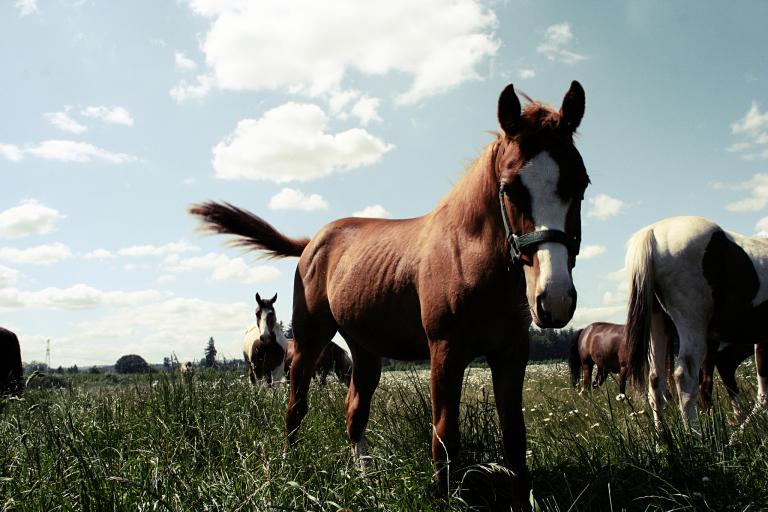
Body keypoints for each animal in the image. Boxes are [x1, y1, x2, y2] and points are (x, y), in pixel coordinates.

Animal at [628, 214, 768, 434]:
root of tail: (653, 233)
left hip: (658, 325)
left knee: (656, 380)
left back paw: (663, 438)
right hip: (691, 324)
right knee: (685, 377)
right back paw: (695, 436)